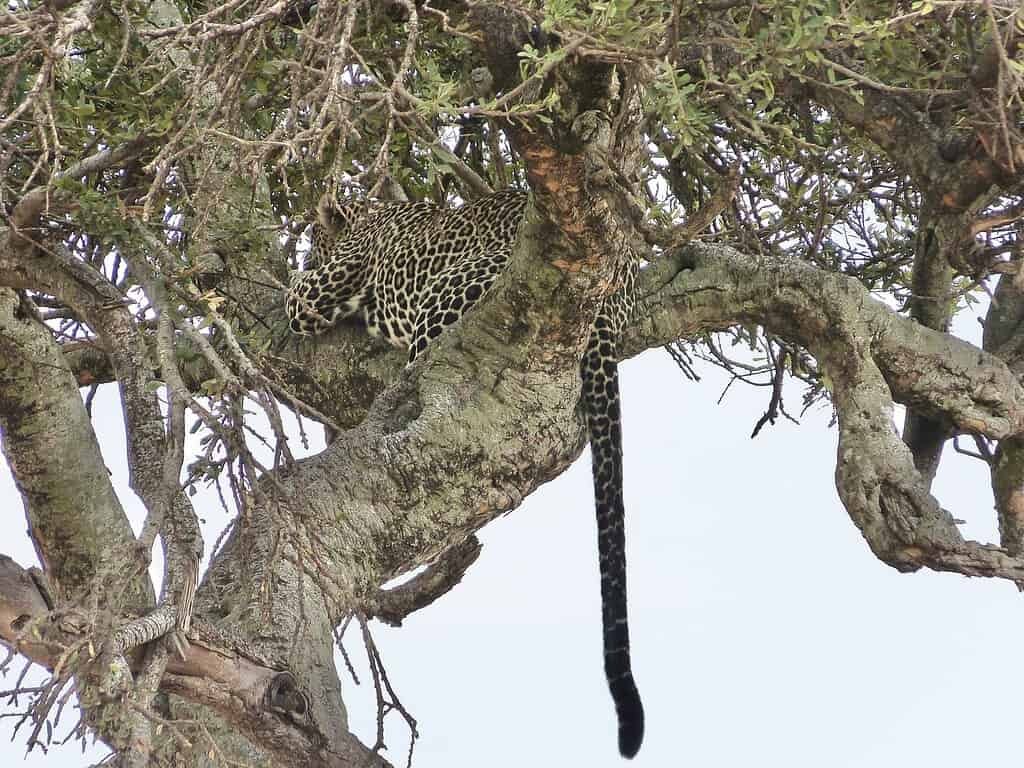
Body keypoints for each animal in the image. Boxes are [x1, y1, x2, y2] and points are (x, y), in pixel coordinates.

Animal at [286, 188, 644, 758]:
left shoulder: (331, 283)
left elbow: (294, 299)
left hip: (449, 296)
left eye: (315, 240)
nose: (305, 252)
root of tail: (616, 283)